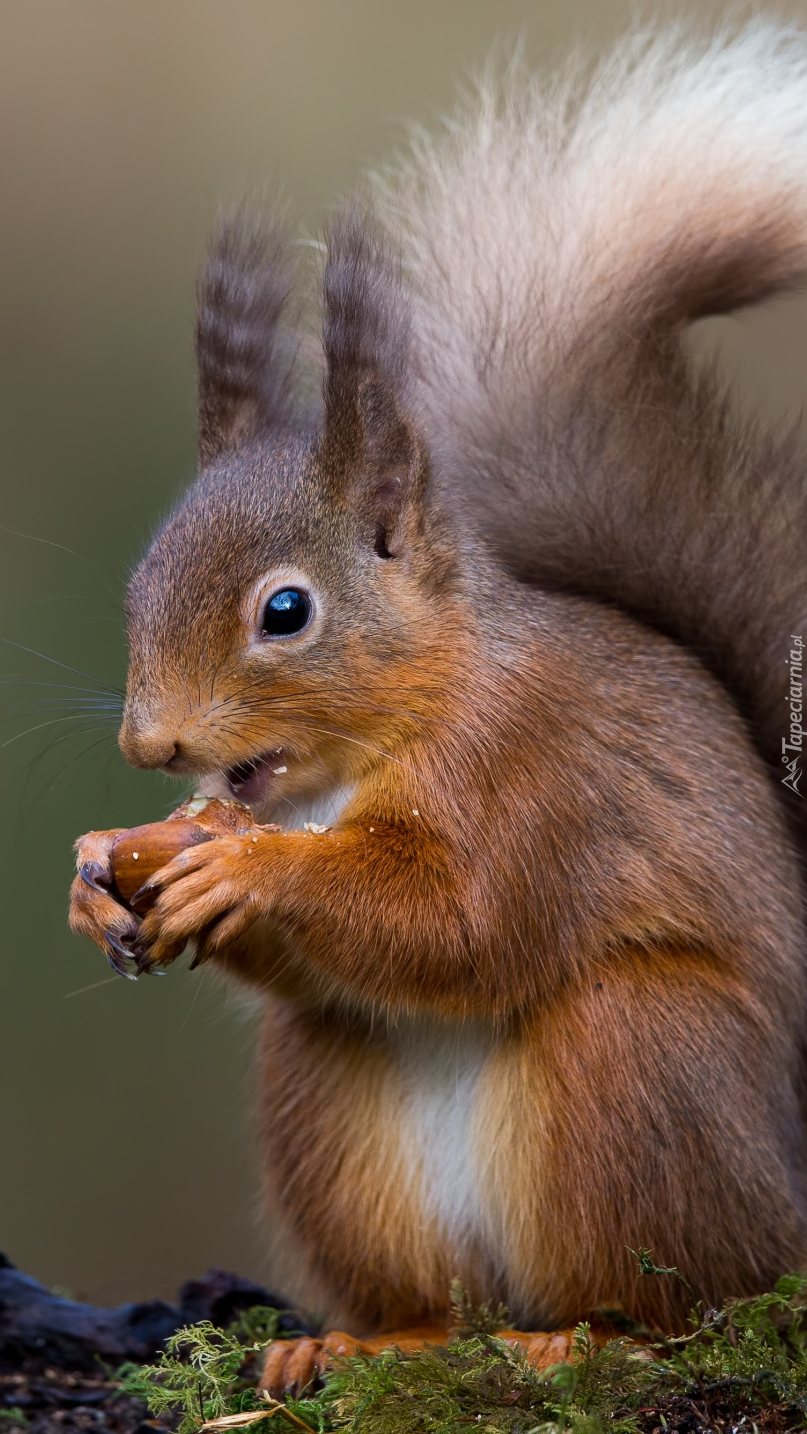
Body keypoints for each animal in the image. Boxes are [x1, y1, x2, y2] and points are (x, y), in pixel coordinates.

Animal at [69, 19, 807, 1388]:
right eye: (141, 578)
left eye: (286, 611)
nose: (152, 745)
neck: (359, 763)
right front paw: (102, 872)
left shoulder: (543, 772)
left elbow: (463, 921)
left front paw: (247, 868)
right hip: (327, 1103)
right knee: (421, 1273)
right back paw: (359, 1340)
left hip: (644, 1066)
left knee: (689, 1295)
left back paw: (579, 1333)